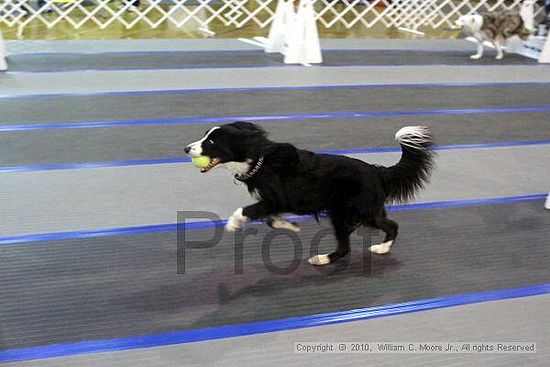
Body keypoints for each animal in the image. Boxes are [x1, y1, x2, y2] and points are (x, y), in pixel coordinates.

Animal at [185, 123, 436, 268]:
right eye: (205, 136)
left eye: (211, 141)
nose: (186, 149)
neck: (259, 159)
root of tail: (378, 171)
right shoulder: (274, 203)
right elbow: (270, 220)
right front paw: (291, 226)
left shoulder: (276, 199)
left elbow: (247, 210)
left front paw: (233, 224)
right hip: (350, 212)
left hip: (354, 211)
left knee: (381, 230)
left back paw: (336, 256)